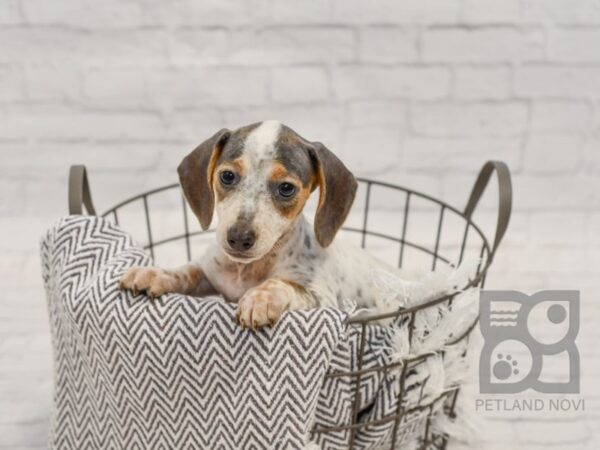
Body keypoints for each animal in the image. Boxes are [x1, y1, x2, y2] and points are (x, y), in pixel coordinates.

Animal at [120, 121, 394, 328]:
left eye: (286, 188)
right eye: (227, 176)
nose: (239, 237)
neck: (246, 271)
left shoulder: (323, 300)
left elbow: (283, 284)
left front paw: (260, 299)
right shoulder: (209, 273)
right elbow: (186, 271)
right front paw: (155, 273)